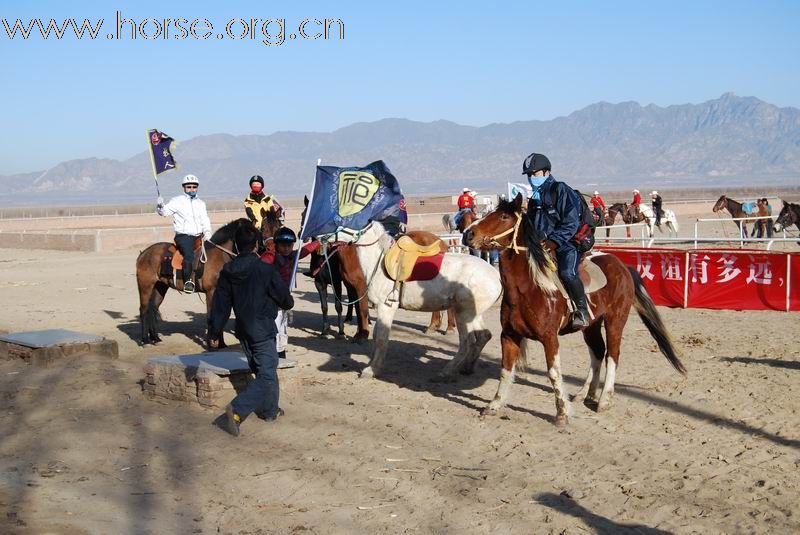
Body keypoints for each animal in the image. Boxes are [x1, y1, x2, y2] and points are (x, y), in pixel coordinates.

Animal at [138, 211, 284, 350]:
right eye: (263, 228)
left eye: (278, 227)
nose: (269, 249)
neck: (221, 256)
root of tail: (143, 253)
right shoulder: (211, 292)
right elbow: (211, 317)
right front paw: (211, 345)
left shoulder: (221, 292)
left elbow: (220, 316)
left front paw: (221, 344)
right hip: (145, 286)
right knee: (144, 310)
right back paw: (145, 340)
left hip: (160, 287)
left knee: (152, 309)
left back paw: (155, 338)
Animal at [324, 222, 500, 382]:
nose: (323, 238)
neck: (379, 262)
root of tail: (496, 276)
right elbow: (375, 336)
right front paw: (372, 365)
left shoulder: (386, 308)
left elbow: (381, 338)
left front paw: (372, 370)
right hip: (473, 314)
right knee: (484, 336)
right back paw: (467, 367)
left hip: (463, 314)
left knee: (467, 342)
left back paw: (447, 372)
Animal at [462, 195, 688, 426]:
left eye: (504, 217)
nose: (468, 234)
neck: (528, 289)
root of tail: (623, 267)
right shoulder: (508, 335)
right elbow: (506, 371)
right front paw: (494, 405)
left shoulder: (549, 338)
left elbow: (554, 373)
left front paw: (562, 412)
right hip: (591, 325)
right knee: (598, 352)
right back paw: (586, 393)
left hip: (615, 320)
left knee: (612, 354)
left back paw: (604, 400)